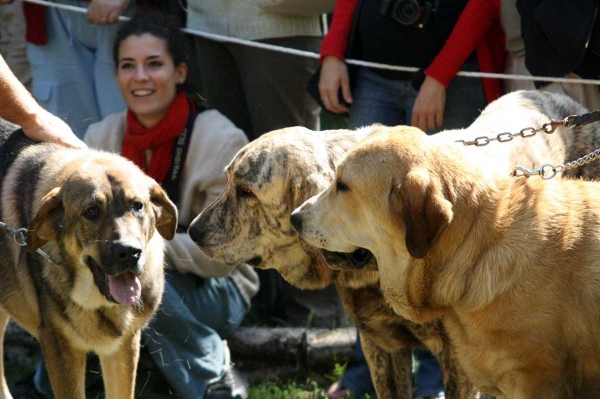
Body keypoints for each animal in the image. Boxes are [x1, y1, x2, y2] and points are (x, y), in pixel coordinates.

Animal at [0, 119, 178, 399]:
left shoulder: (124, 346)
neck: (98, 301)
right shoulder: (60, 350)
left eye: (138, 205)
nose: (130, 252)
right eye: (91, 211)